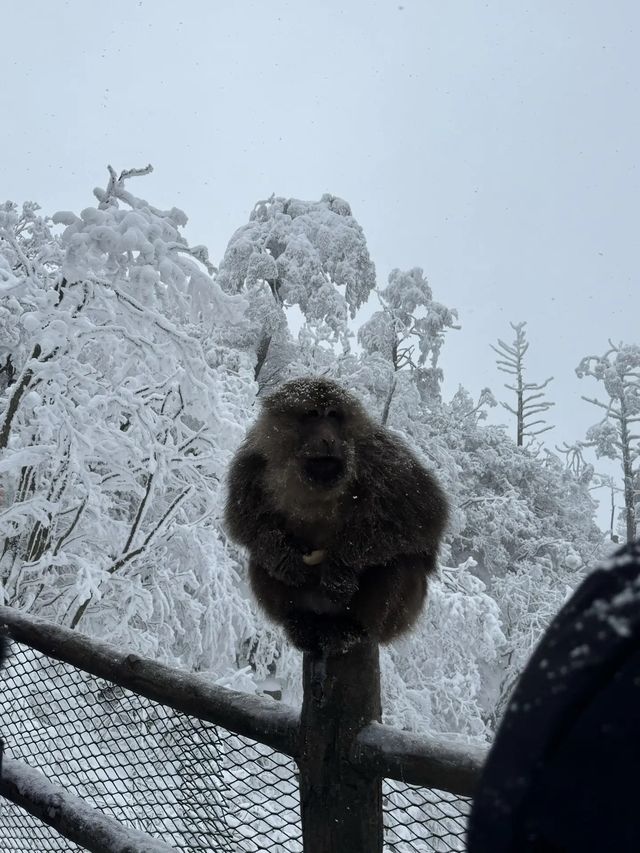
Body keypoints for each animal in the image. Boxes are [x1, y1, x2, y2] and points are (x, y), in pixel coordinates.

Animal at [225, 378, 450, 652]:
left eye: (333, 415)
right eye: (312, 414)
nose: (328, 439)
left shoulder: (383, 458)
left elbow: (424, 517)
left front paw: (341, 565)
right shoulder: (253, 462)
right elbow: (245, 520)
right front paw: (284, 557)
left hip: (395, 618)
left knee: (400, 561)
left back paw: (352, 628)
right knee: (259, 559)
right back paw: (300, 622)